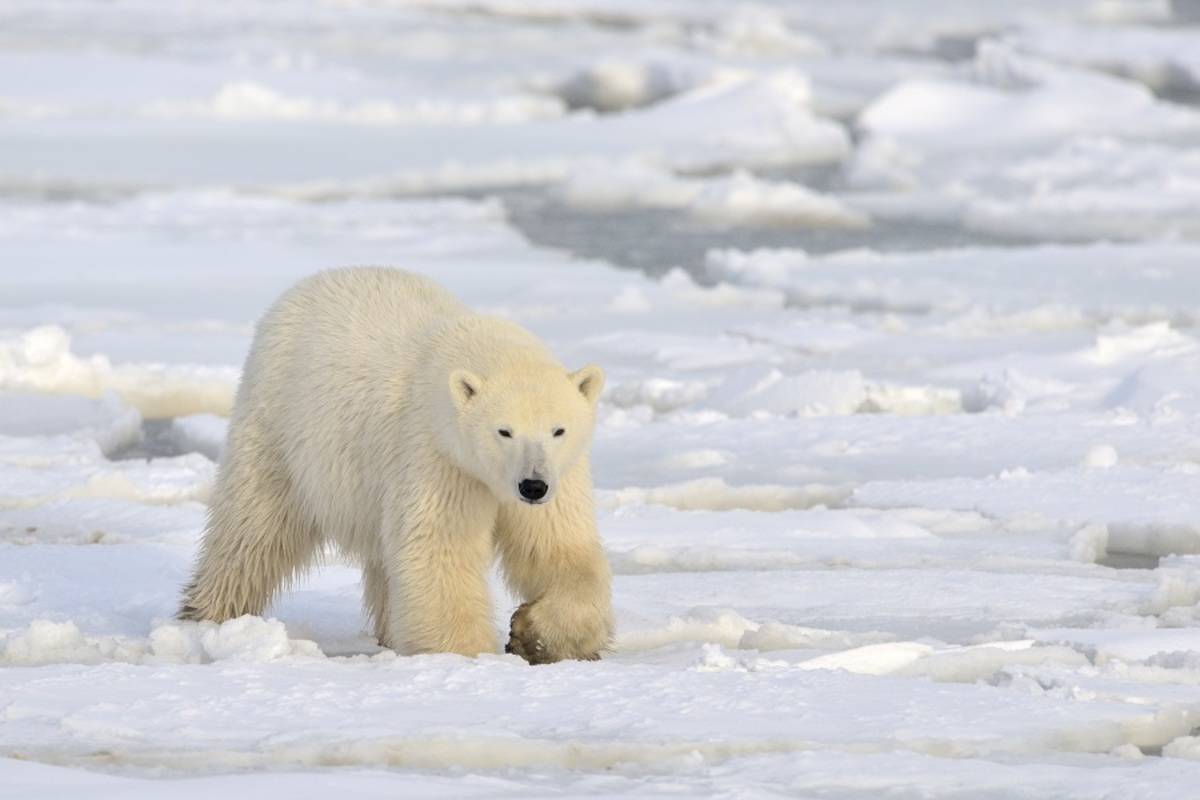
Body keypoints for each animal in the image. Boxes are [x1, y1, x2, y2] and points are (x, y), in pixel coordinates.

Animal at [180, 268, 609, 662]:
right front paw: (469, 656)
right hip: (279, 427)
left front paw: (532, 635)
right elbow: (439, 553)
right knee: (253, 530)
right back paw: (208, 616)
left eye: (558, 430)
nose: (532, 486)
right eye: (504, 431)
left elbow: (560, 549)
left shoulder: (560, 474)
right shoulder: (436, 456)